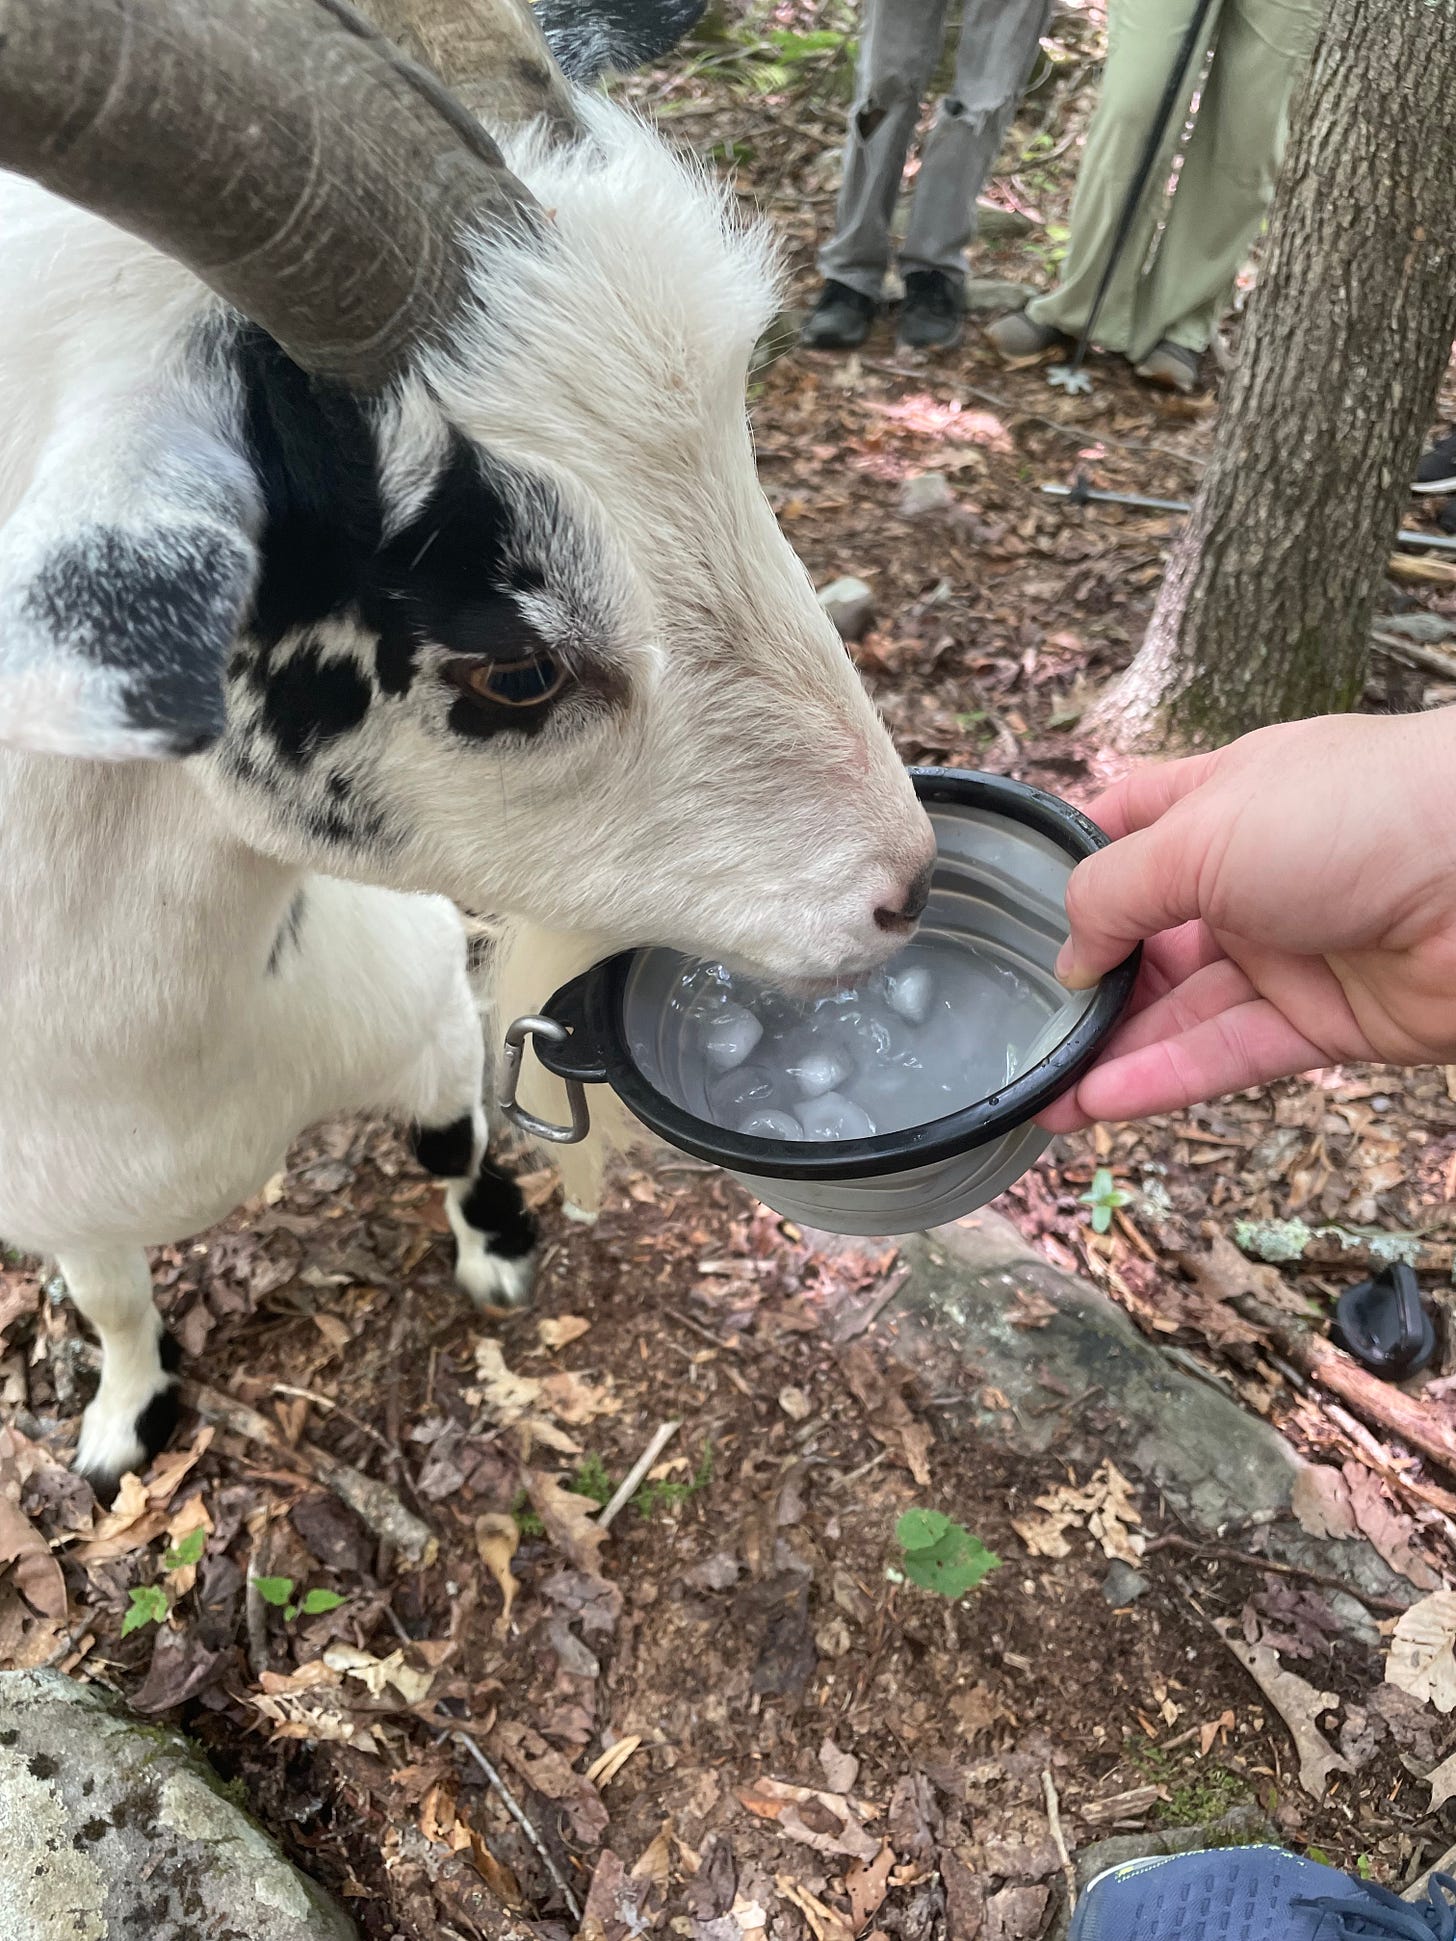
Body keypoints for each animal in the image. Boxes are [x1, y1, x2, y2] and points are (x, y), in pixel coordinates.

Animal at [0, 0, 935, 1498]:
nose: (907, 884)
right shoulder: (60, 1210)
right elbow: (111, 1296)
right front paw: (120, 1426)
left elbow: (456, 1137)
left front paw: (501, 1256)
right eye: (517, 666)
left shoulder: (433, 1008)